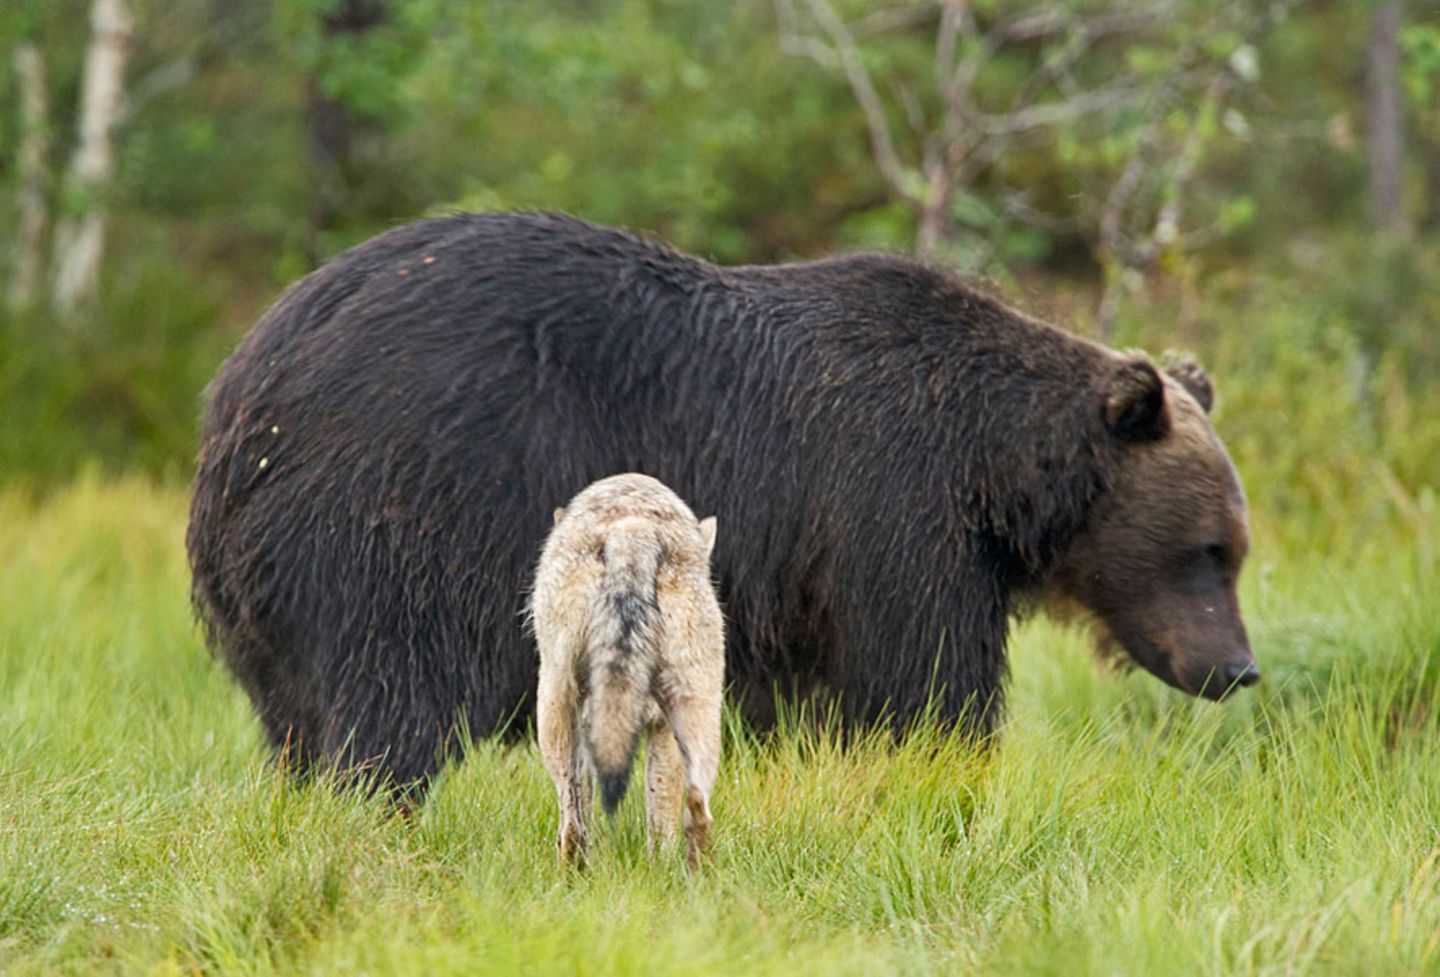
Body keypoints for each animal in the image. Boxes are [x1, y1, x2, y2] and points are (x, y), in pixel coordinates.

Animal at [188, 211, 1249, 789]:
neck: (997, 471)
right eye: (1208, 549)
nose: (1239, 669)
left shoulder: (793, 571)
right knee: (391, 697)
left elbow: (795, 695)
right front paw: (944, 762)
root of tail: (244, 384)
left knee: (295, 716)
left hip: (272, 584)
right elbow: (924, 678)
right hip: (407, 507)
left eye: (1235, 549)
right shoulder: (889, 502)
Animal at [529, 475, 725, 870]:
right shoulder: (655, 727)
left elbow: (587, 803)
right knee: (696, 813)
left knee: (571, 826)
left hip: (552, 708)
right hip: (700, 712)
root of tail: (634, 529)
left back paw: (571, 873)